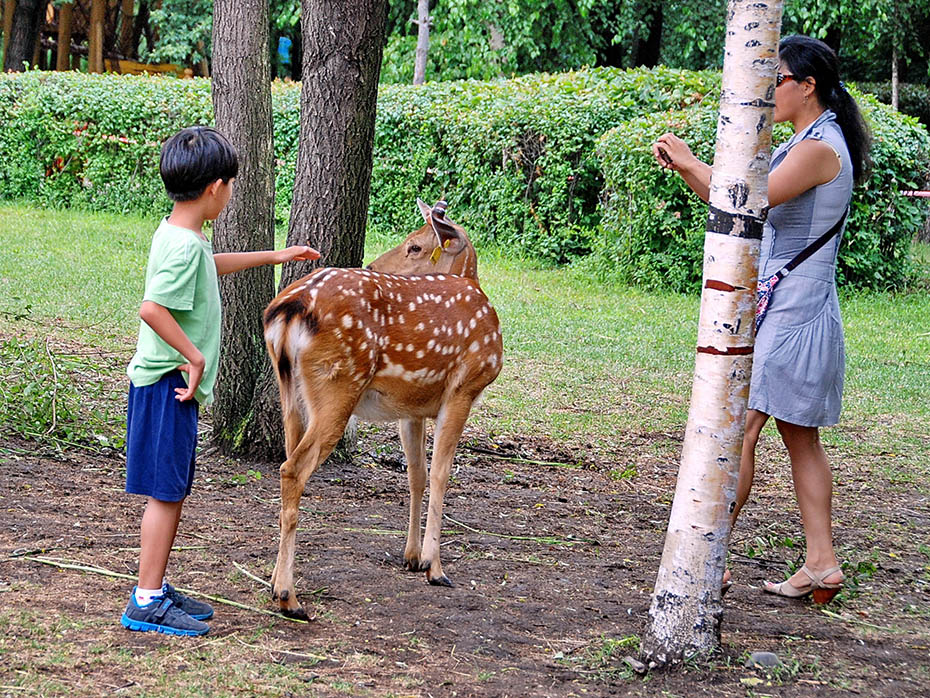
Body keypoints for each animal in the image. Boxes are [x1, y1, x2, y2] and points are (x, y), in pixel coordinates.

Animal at [260, 198, 504, 616]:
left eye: (415, 246)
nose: (373, 266)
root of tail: (291, 307)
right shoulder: (464, 388)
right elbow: (442, 475)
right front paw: (436, 568)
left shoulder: (412, 408)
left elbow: (417, 475)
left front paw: (413, 557)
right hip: (338, 383)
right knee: (293, 469)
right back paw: (290, 597)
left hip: (289, 388)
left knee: (287, 459)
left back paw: (276, 583)